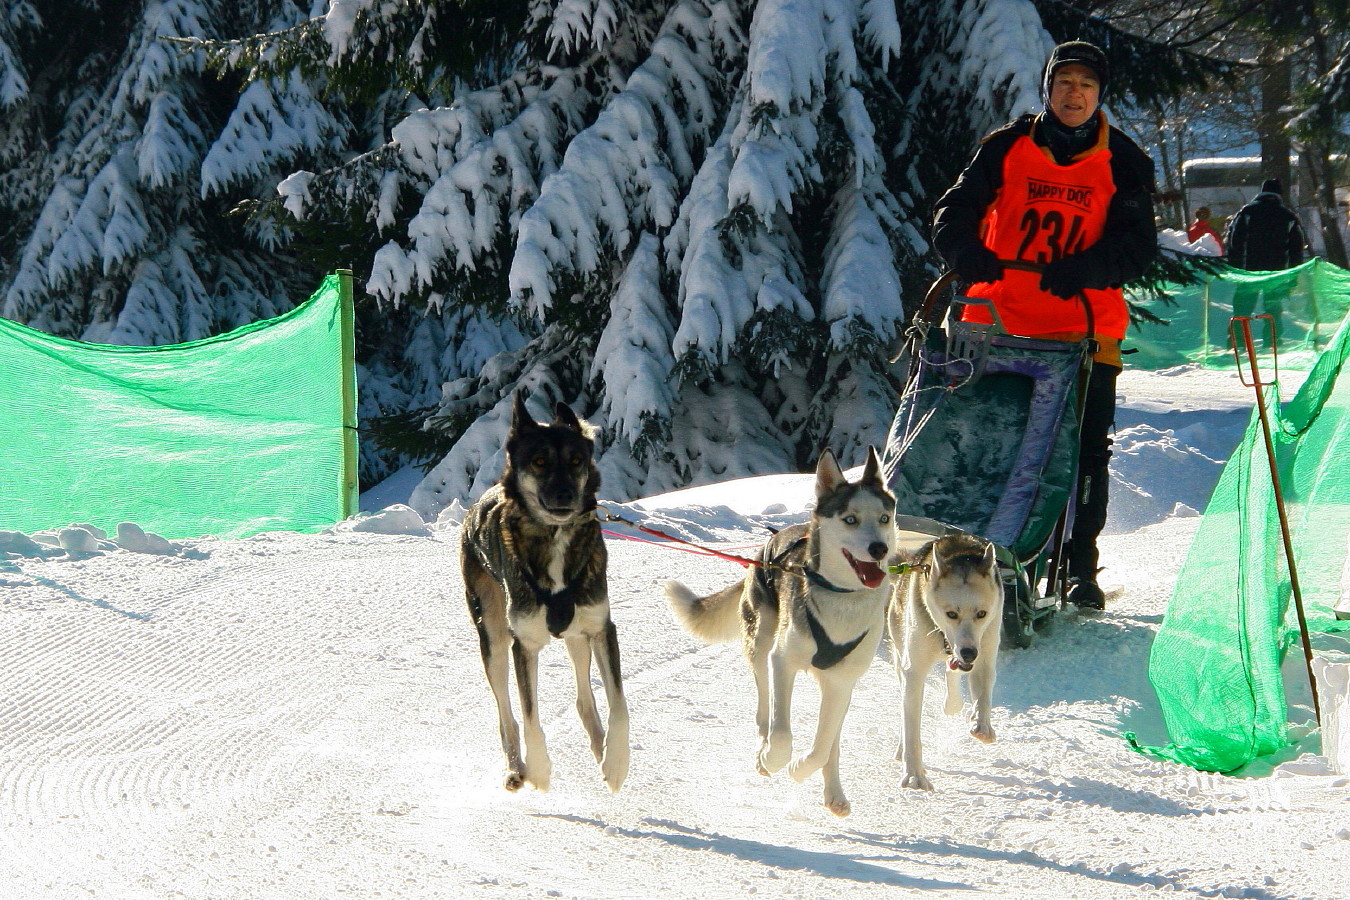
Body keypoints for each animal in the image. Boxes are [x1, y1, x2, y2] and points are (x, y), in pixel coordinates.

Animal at [459, 394, 626, 793]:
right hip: (493, 637)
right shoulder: (525, 643)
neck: (555, 537)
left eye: (577, 460)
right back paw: (515, 767)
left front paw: (616, 763)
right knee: (507, 714)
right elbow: (530, 714)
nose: (566, 494)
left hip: (578, 636)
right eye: (539, 461)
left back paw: (600, 748)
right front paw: (538, 769)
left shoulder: (601, 627)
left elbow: (618, 703)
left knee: (584, 699)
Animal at [664, 447, 896, 814]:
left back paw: (834, 793)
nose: (879, 549)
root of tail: (772, 541)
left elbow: (822, 746)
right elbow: (783, 733)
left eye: (884, 518)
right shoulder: (783, 661)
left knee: (831, 741)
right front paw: (773, 759)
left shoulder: (841, 683)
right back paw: (764, 739)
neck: (842, 597)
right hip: (760, 641)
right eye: (850, 519)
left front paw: (800, 769)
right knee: (764, 704)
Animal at [885, 531, 1004, 793]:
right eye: (951, 614)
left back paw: (954, 702)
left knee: (954, 673)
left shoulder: (985, 652)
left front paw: (982, 724)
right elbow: (911, 728)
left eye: (982, 614)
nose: (969, 652)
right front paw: (914, 775)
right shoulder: (914, 672)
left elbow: (983, 694)